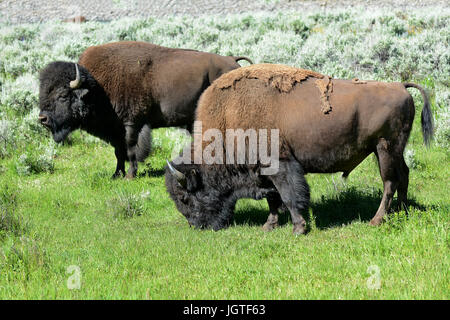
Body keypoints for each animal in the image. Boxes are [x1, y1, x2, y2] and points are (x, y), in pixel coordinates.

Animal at [38, 40, 253, 178]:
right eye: (43, 92)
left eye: (63, 95)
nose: (42, 119)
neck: (96, 87)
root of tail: (233, 61)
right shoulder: (116, 130)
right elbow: (119, 152)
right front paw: (116, 174)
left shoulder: (131, 124)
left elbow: (131, 149)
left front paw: (130, 175)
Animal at [166, 63, 432, 234]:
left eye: (186, 197)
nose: (197, 226)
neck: (229, 117)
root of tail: (400, 86)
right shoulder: (264, 172)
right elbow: (273, 199)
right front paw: (269, 226)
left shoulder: (280, 166)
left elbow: (289, 195)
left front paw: (298, 228)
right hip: (391, 150)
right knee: (404, 175)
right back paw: (403, 211)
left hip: (385, 148)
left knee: (390, 182)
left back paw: (376, 221)